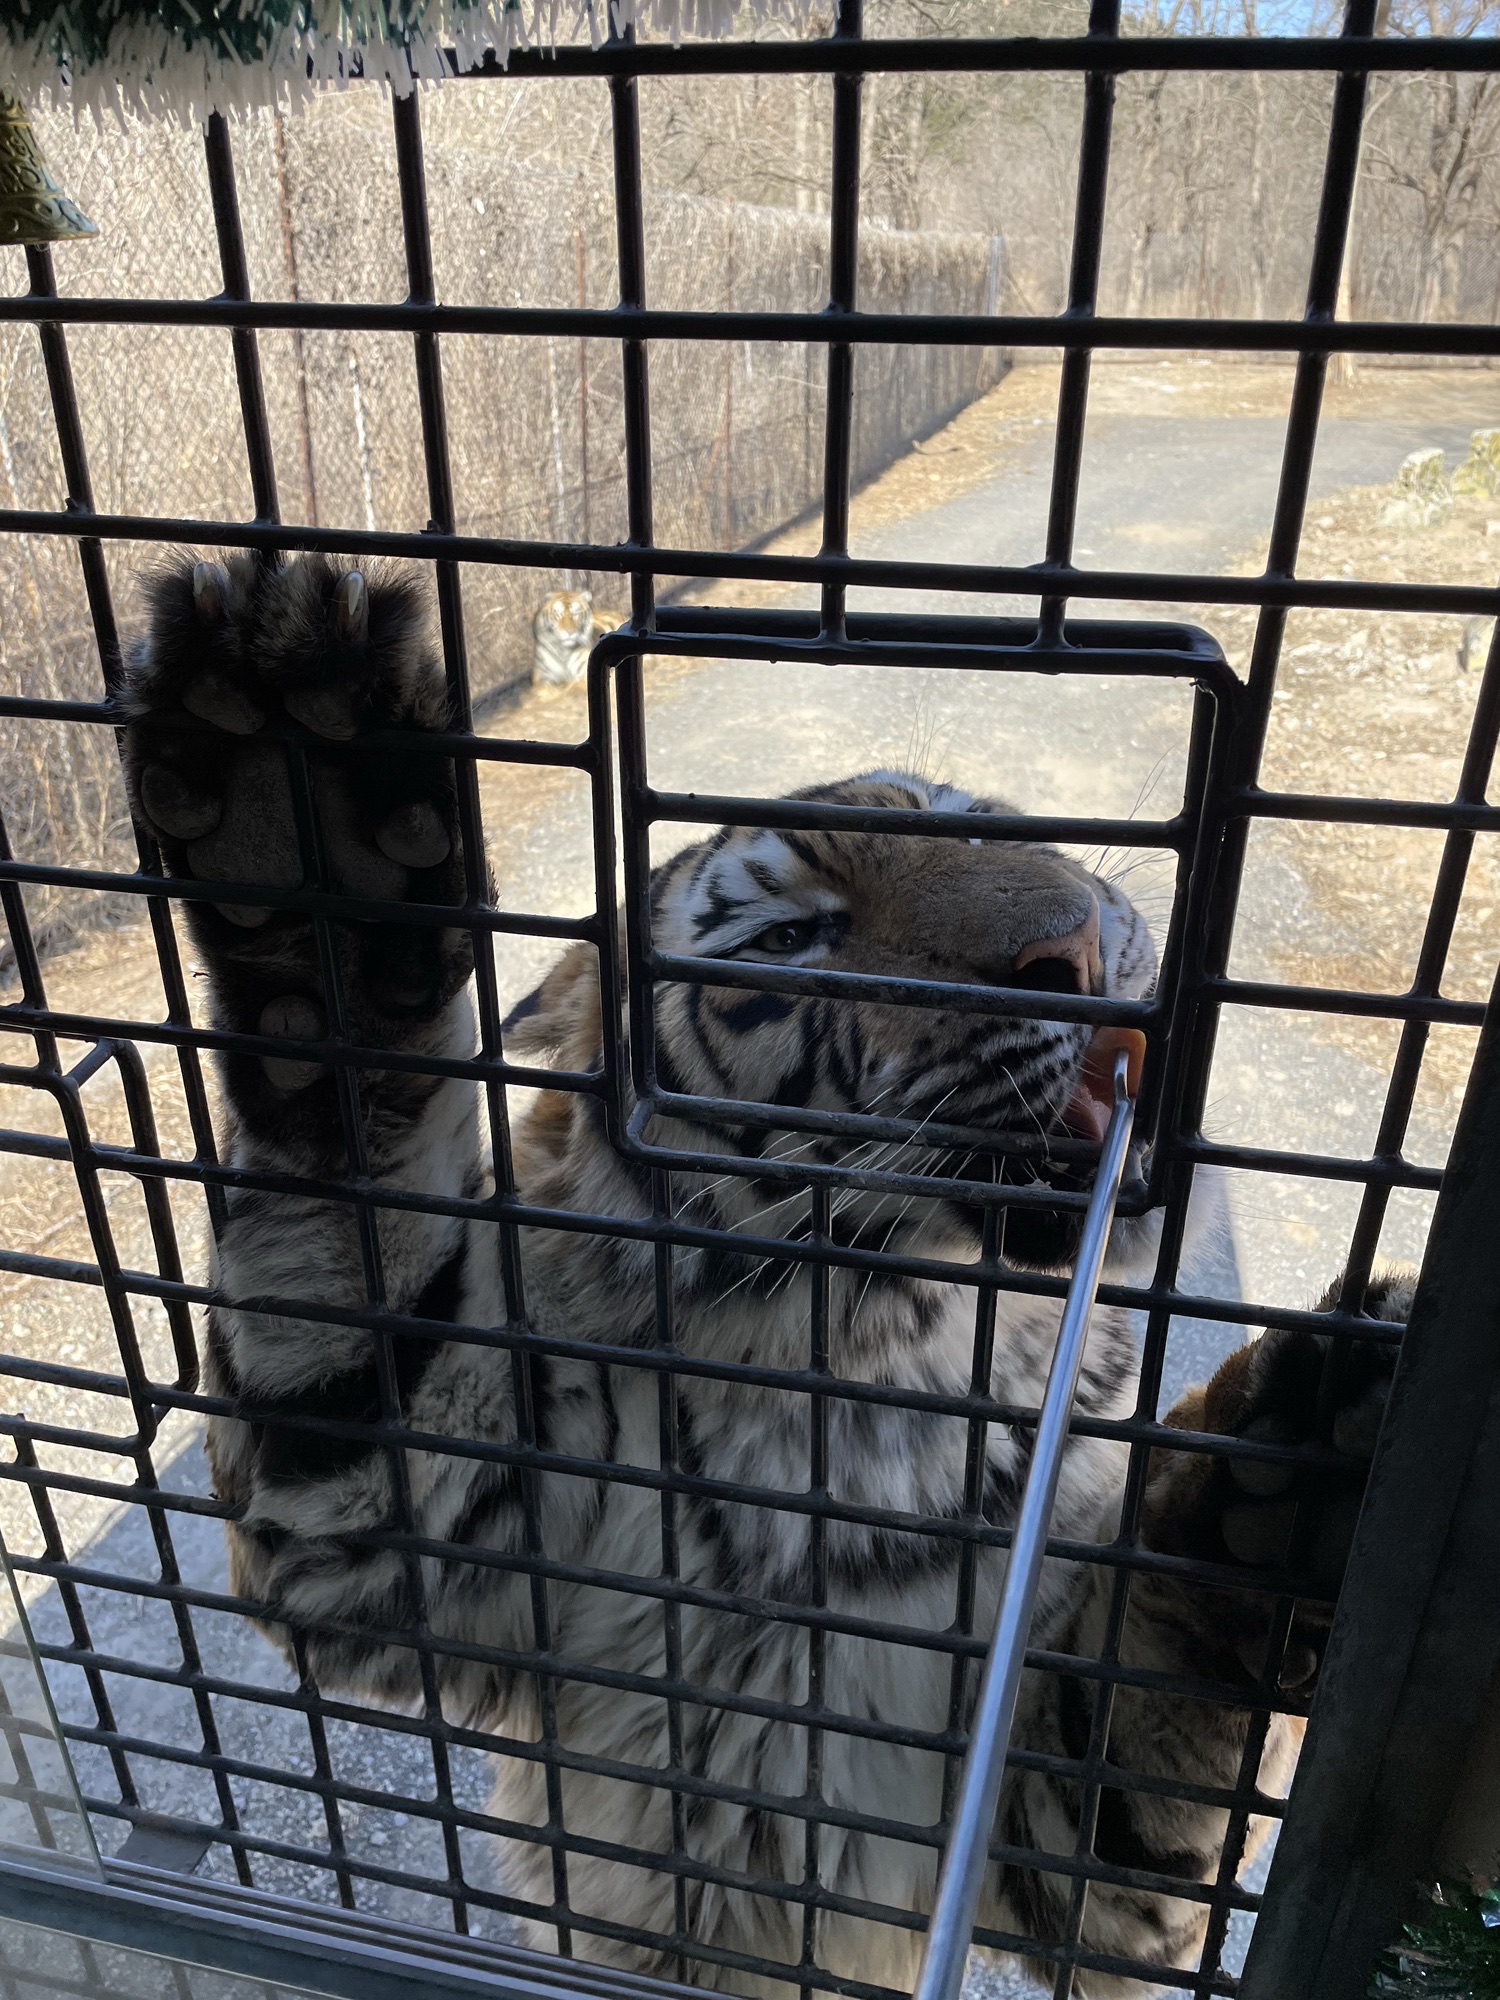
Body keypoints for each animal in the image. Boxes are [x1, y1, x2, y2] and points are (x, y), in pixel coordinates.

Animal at [120, 552, 1404, 2000]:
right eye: (793, 938)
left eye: (968, 823)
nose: (1076, 942)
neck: (893, 1359)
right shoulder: (389, 1549)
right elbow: (340, 1218)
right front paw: (296, 820)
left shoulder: (1058, 1817)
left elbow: (1159, 1694)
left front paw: (1287, 1470)